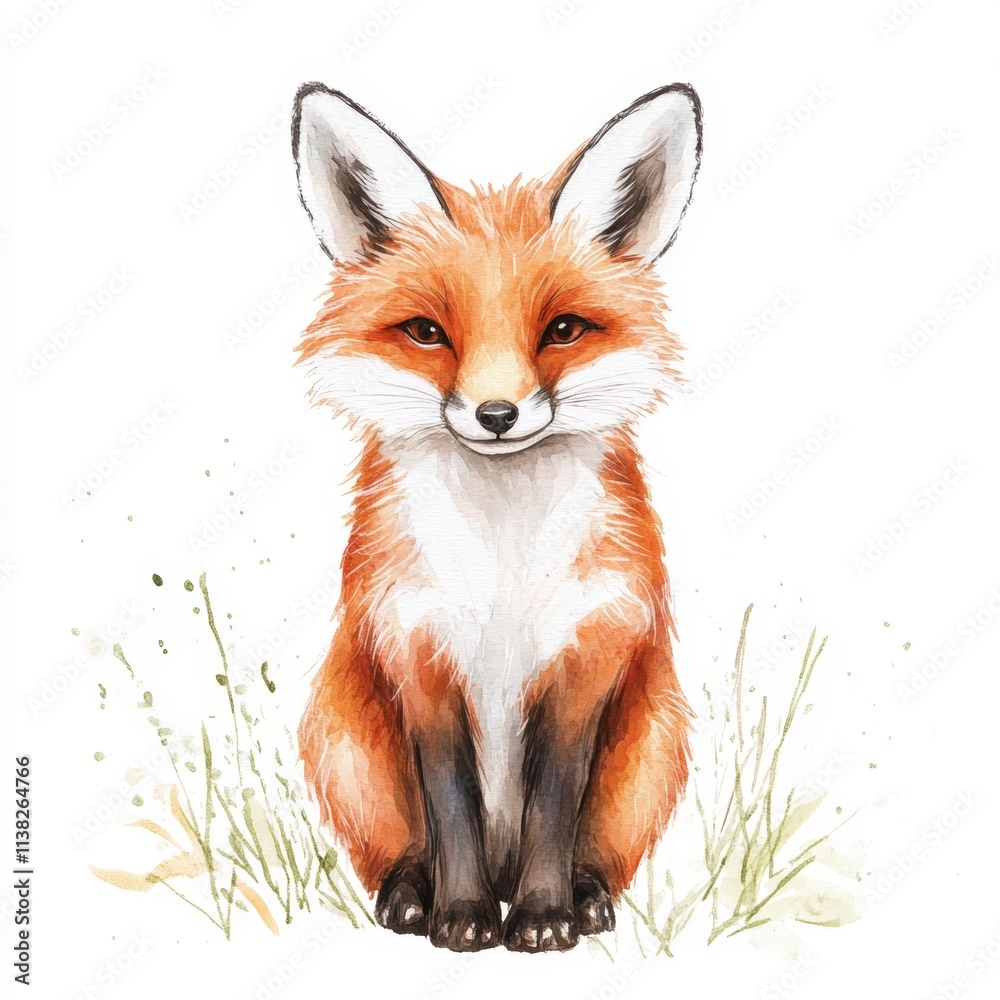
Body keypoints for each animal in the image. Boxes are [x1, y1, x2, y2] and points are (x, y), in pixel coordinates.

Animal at [292, 82, 702, 953]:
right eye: (427, 333)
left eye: (562, 330)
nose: (496, 414)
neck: (503, 565)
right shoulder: (419, 657)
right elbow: (450, 808)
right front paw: (463, 919)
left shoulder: (585, 658)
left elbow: (553, 804)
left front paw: (544, 919)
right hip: (344, 743)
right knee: (401, 849)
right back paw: (411, 898)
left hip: (652, 751)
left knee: (598, 851)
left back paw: (584, 899)